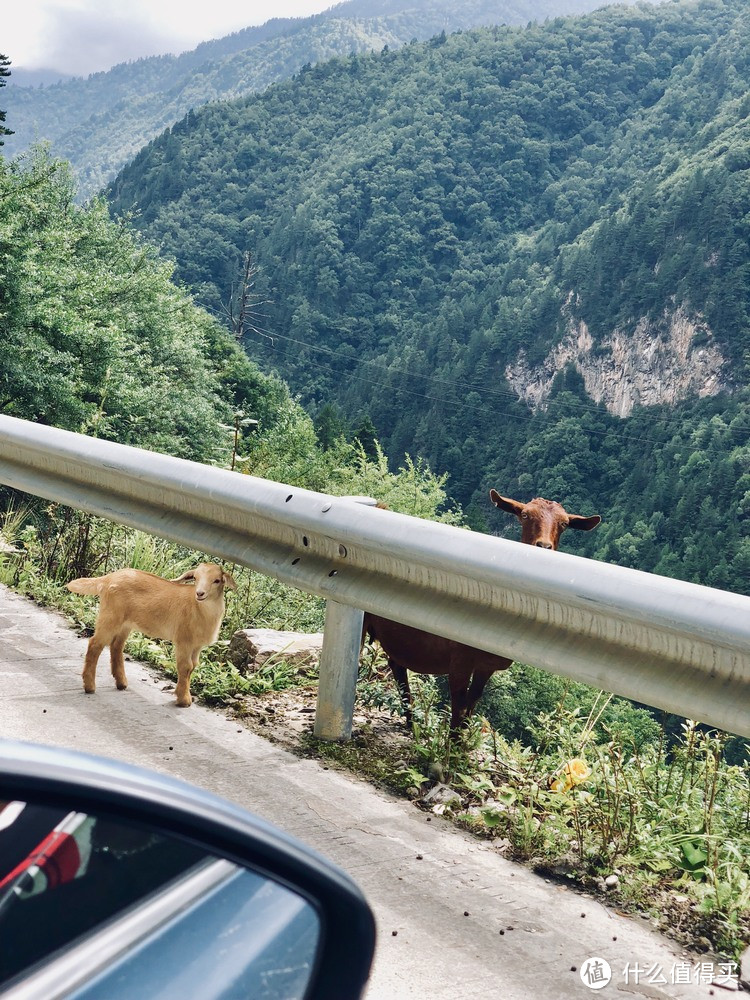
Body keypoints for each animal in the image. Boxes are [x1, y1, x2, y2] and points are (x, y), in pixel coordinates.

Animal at [68, 564, 238, 712]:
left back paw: (121, 683)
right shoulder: (183, 641)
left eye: (217, 580)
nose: (200, 593)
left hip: (125, 623)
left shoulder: (196, 646)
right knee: (95, 644)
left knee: (116, 646)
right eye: (195, 578)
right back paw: (90, 686)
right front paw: (183, 700)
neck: (199, 609)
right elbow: (185, 667)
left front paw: (184, 695)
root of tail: (108, 578)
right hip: (110, 616)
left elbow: (193, 666)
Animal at [362, 490, 604, 732]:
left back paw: (412, 723)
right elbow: (458, 710)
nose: (543, 546)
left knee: (397, 665)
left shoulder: (485, 667)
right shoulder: (460, 661)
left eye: (564, 524)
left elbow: (470, 708)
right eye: (525, 515)